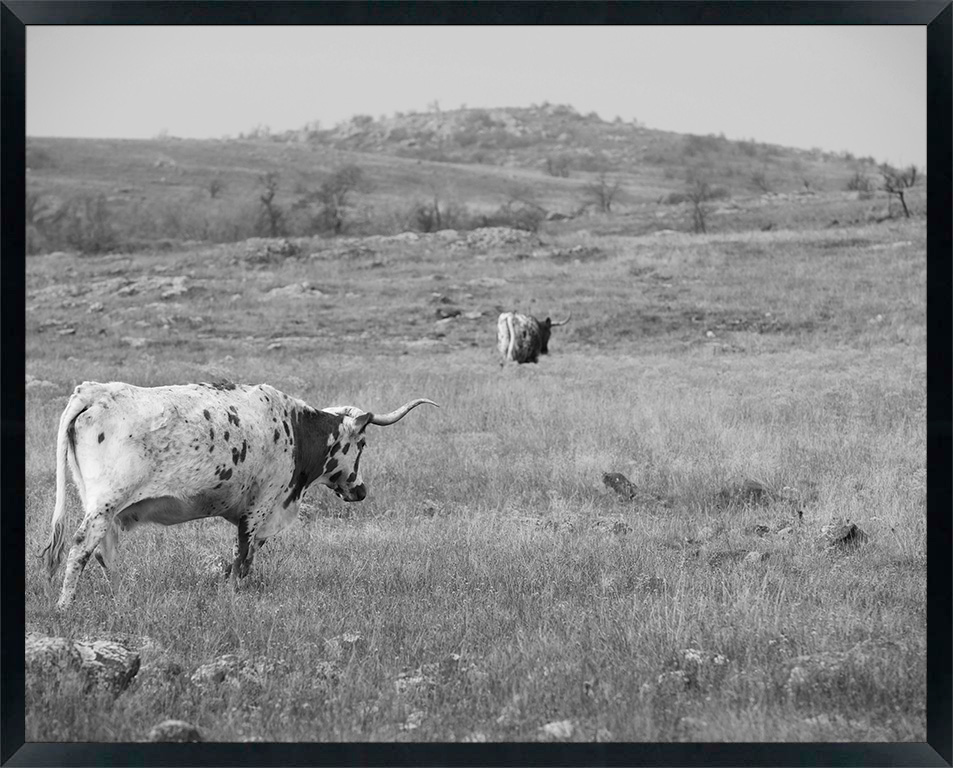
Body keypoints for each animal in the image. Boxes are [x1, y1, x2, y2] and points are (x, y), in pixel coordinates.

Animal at [41, 380, 438, 610]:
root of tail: (95, 391)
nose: (361, 490)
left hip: (101, 506)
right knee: (81, 547)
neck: (295, 428)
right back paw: (64, 606)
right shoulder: (261, 507)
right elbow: (243, 555)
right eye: (363, 444)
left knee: (102, 552)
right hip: (105, 503)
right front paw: (236, 593)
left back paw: (122, 596)